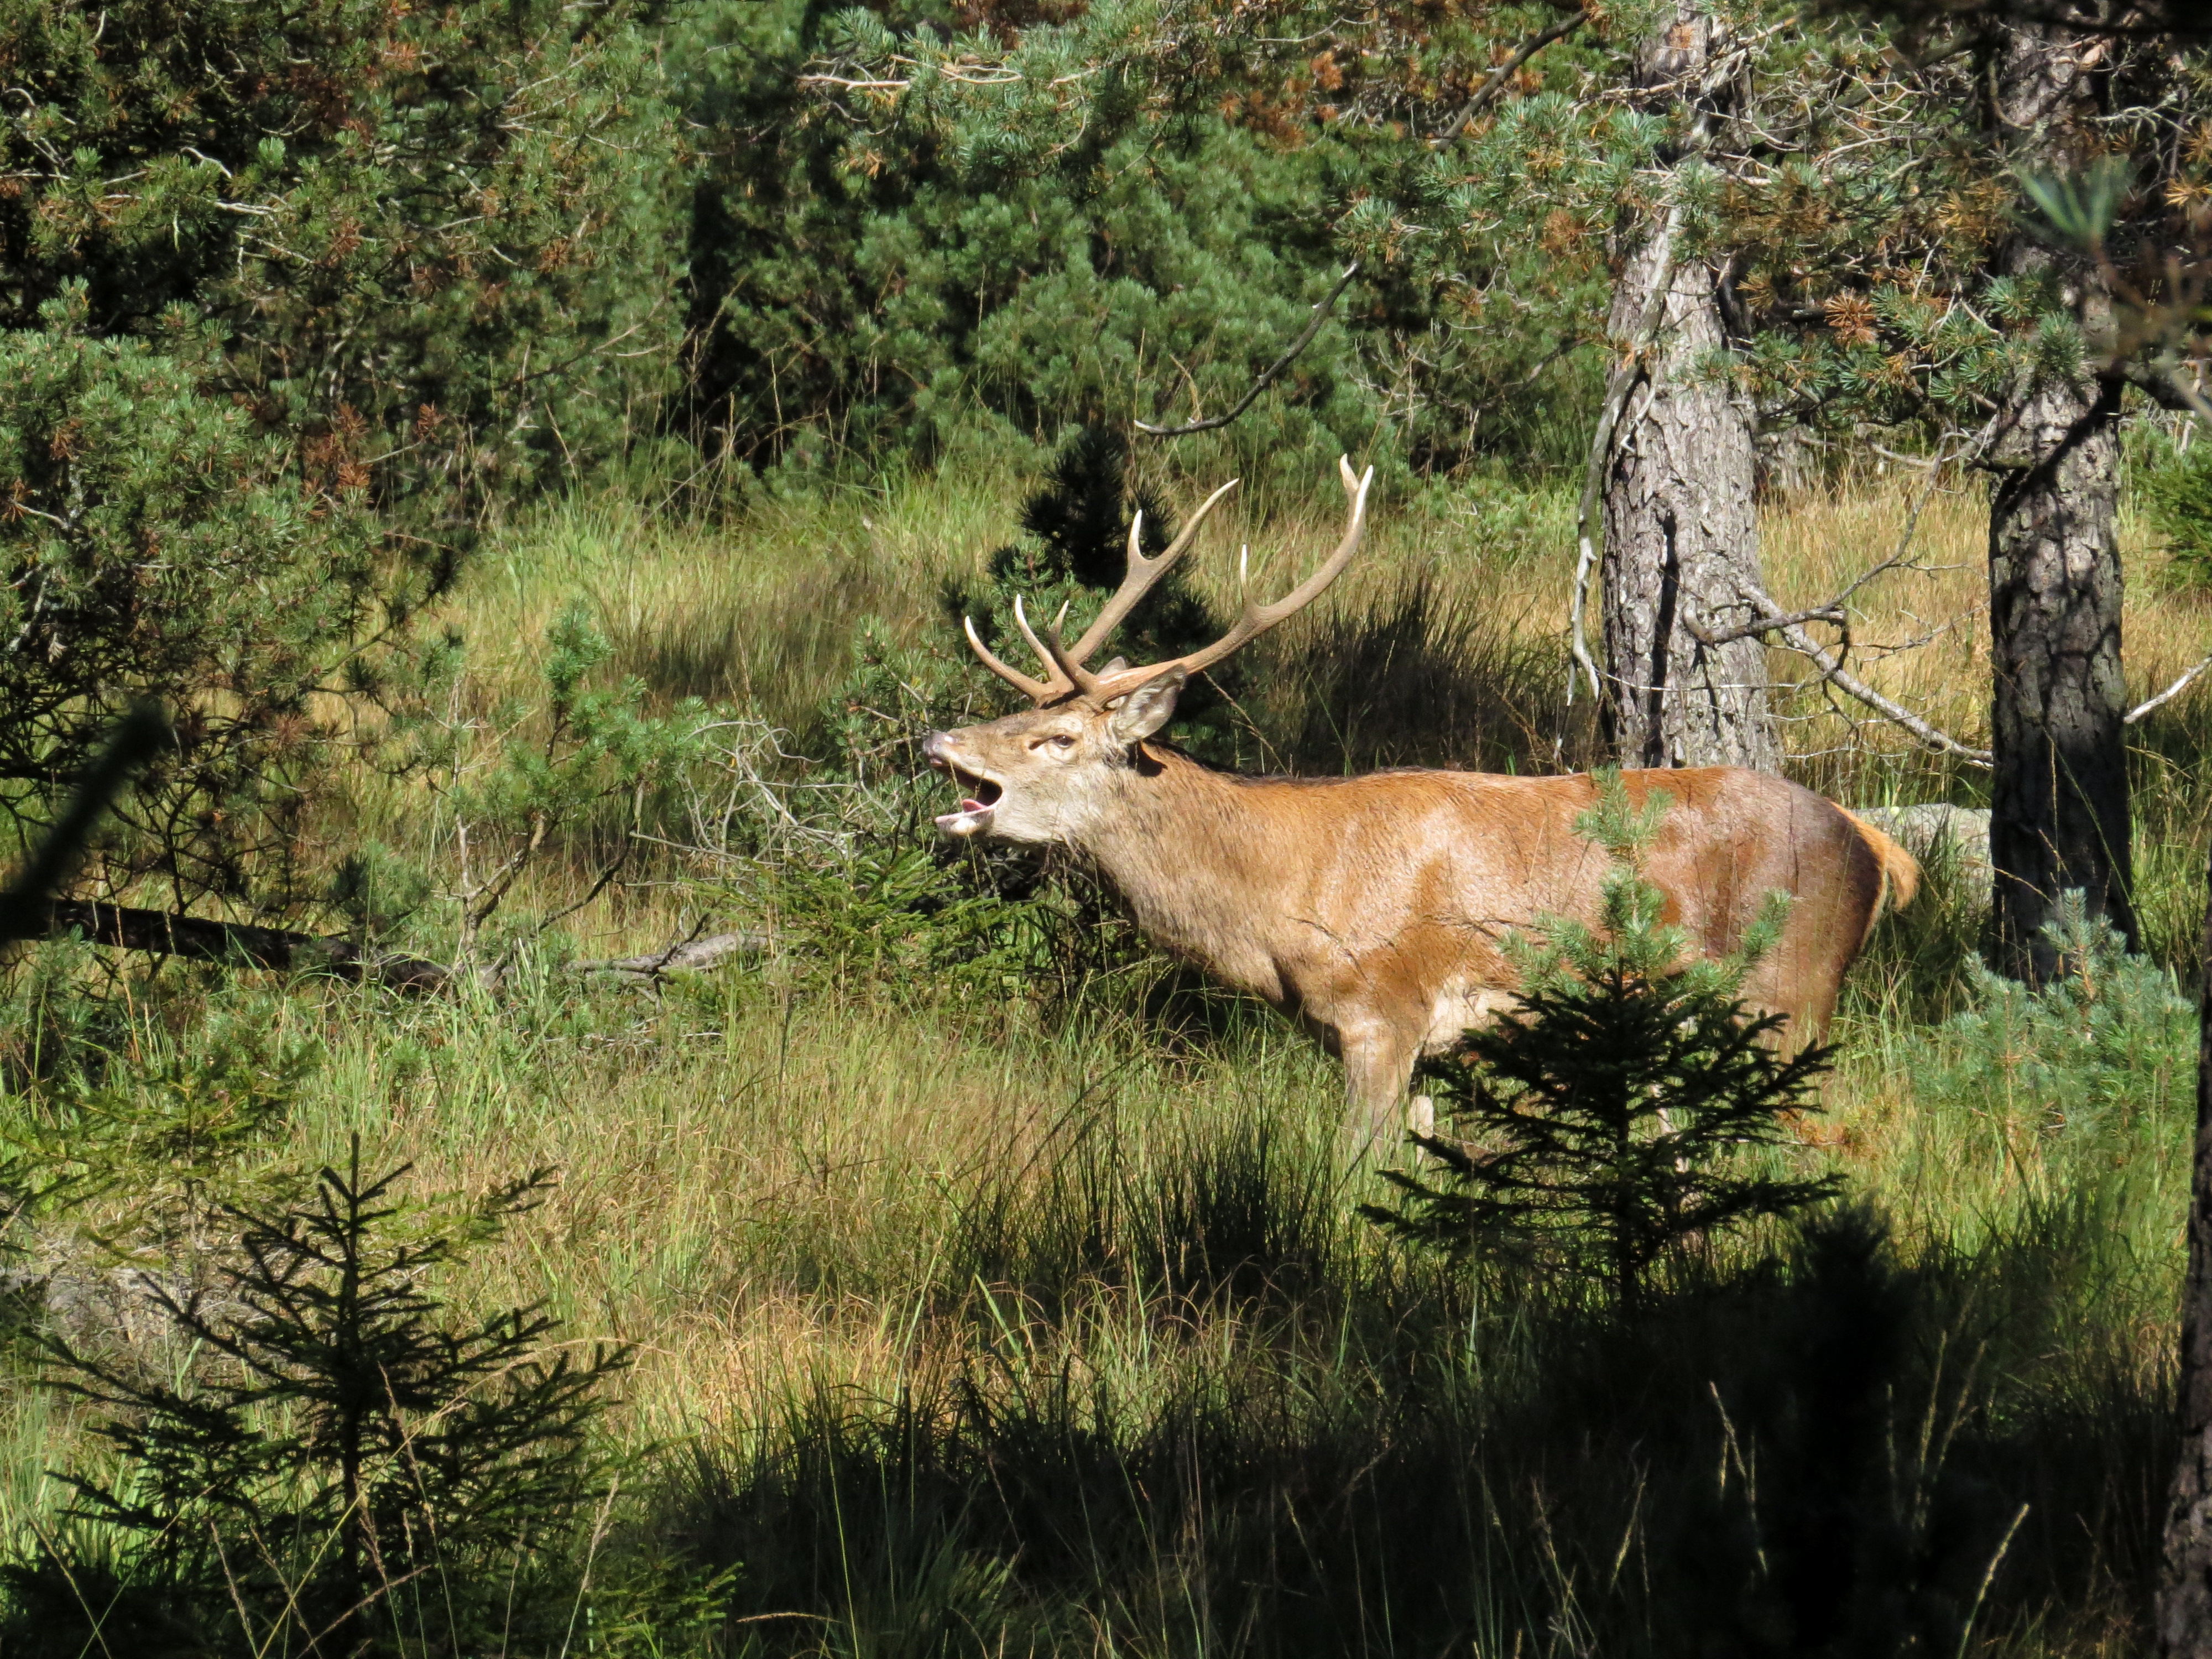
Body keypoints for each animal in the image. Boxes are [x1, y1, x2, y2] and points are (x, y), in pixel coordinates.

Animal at [923, 457, 1920, 1152]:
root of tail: (1877, 847)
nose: (939, 741)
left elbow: (1352, 1170)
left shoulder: (1383, 1011)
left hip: (1791, 990)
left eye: (1057, 738)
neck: (1283, 904)